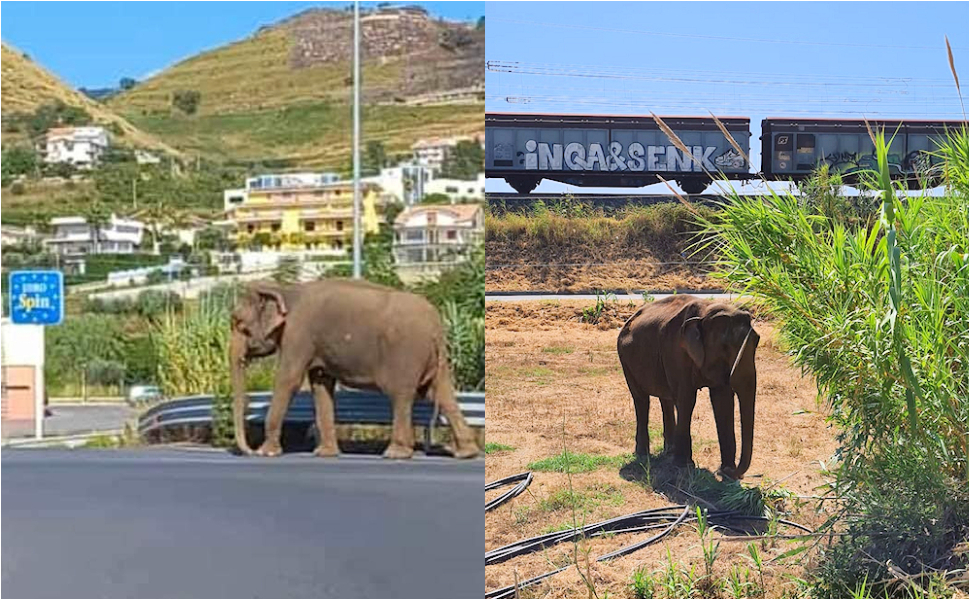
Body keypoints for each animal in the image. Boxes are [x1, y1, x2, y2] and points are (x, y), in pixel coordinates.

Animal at [229, 279, 480, 460]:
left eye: (239, 324)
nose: (249, 451)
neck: (285, 289)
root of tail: (436, 327)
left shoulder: (298, 334)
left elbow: (288, 379)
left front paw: (267, 452)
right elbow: (320, 385)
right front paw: (325, 454)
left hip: (406, 353)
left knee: (402, 395)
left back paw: (395, 454)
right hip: (437, 359)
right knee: (441, 393)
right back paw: (466, 453)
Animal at [616, 295, 760, 479]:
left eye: (757, 341)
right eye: (726, 347)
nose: (730, 472)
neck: (705, 312)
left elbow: (722, 401)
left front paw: (725, 472)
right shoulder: (675, 351)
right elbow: (687, 399)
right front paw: (684, 466)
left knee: (666, 399)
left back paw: (669, 451)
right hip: (625, 360)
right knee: (641, 400)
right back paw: (643, 454)